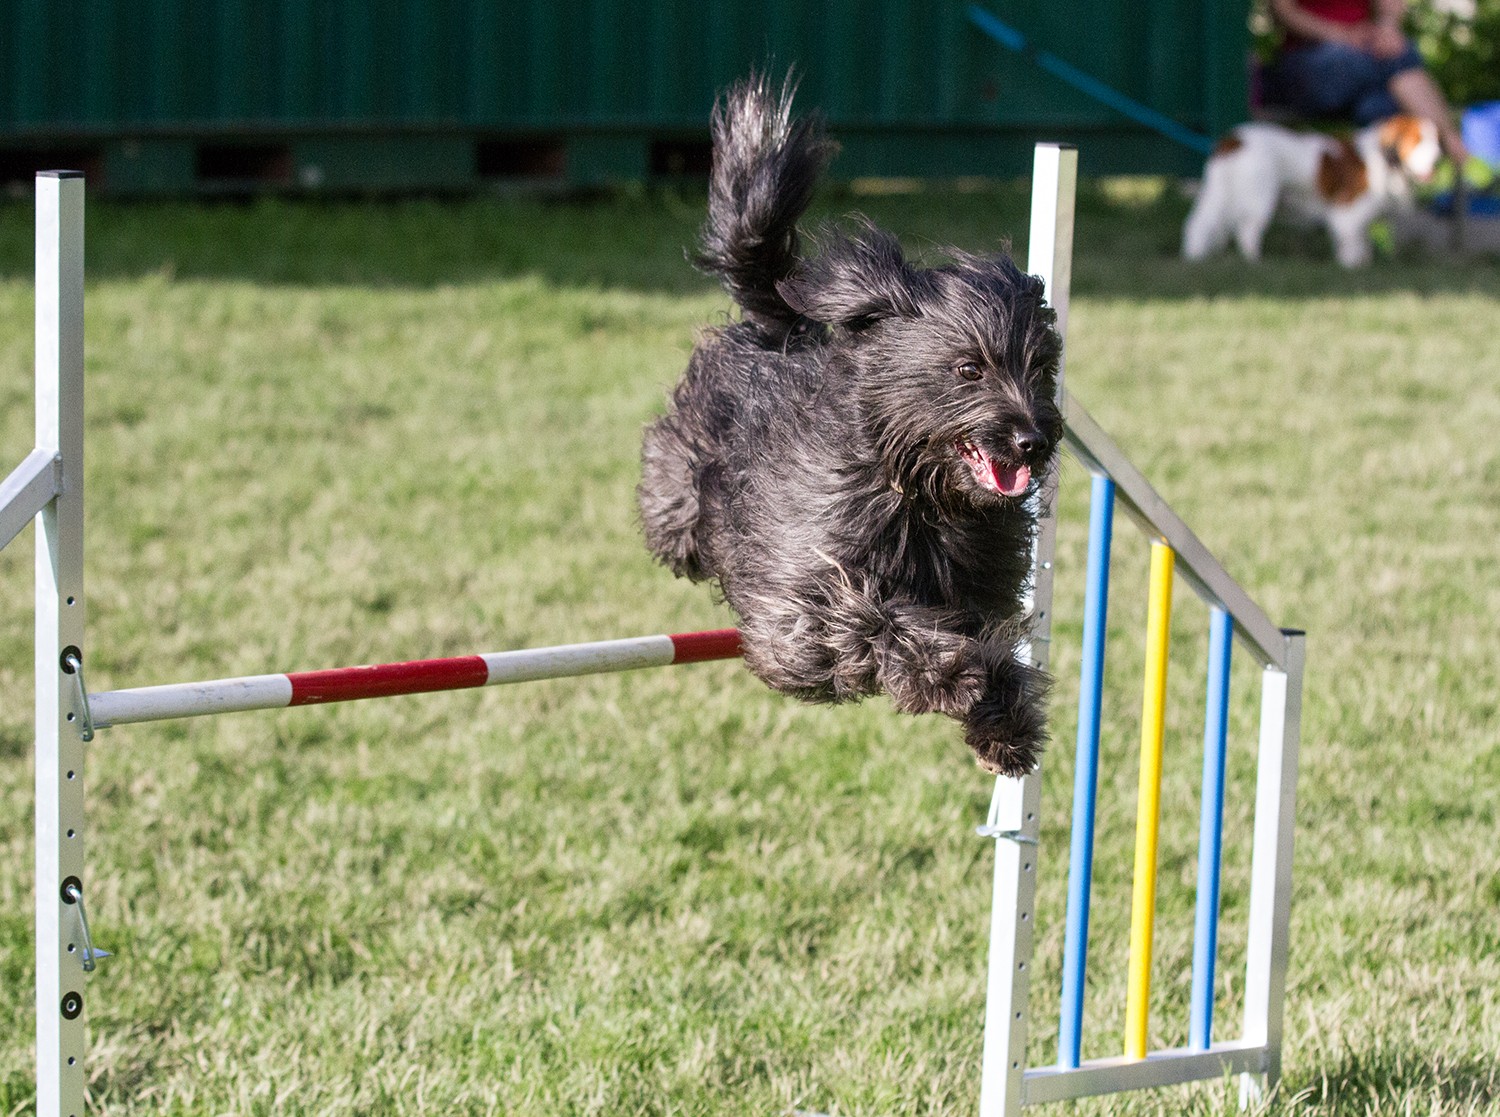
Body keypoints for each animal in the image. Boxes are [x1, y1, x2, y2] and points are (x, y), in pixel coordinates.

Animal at [639, 78, 1062, 773]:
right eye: (968, 368)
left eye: (1043, 368)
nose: (1033, 439)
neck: (914, 493)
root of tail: (783, 328)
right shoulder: (796, 602)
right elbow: (863, 617)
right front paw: (946, 674)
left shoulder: (980, 593)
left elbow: (996, 645)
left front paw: (1006, 723)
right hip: (678, 491)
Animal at [1182, 115, 1440, 268]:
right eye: (1418, 140)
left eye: (1436, 141)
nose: (1438, 159)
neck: (1382, 159)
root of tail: (1234, 138)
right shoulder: (1347, 213)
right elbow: (1353, 242)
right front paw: (1351, 265)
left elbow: (1361, 243)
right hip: (1260, 198)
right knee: (1246, 231)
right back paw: (1255, 261)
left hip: (1221, 193)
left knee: (1202, 223)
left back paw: (1197, 255)